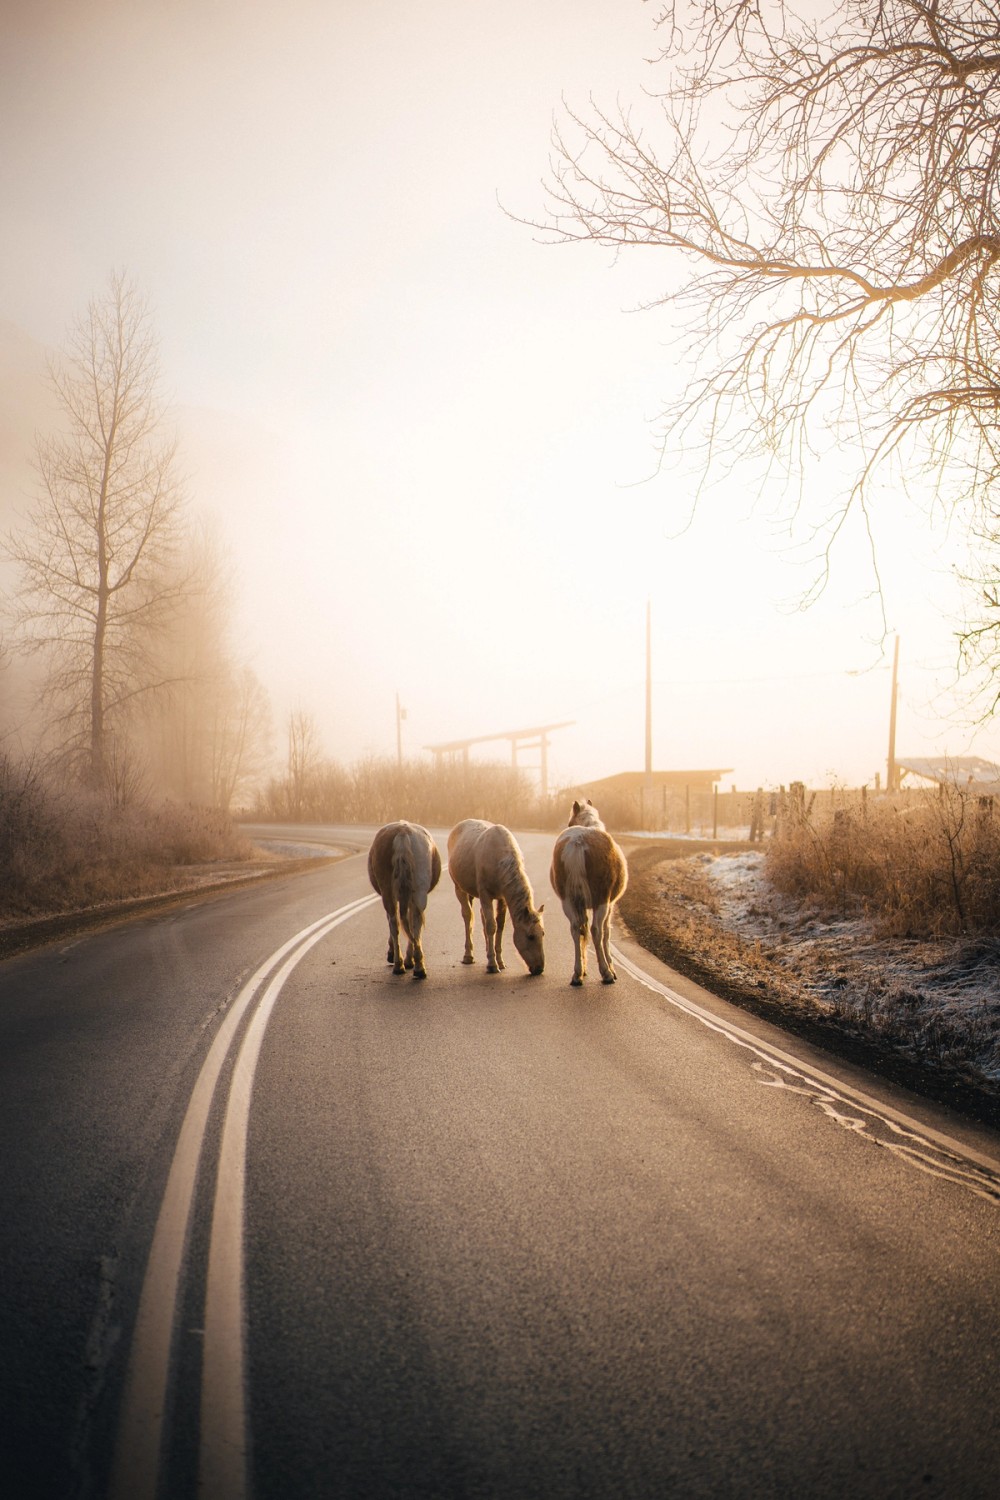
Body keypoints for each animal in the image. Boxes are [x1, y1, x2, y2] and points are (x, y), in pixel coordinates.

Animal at [367, 821, 442, 979]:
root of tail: (403, 833)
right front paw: (410, 959)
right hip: (419, 892)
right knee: (415, 922)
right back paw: (419, 968)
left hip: (388, 892)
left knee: (395, 923)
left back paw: (398, 964)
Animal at [447, 819, 545, 975]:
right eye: (530, 936)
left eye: (543, 933)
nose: (539, 968)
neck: (500, 862)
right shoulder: (485, 894)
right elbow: (491, 926)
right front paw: (492, 964)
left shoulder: (502, 897)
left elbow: (500, 925)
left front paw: (500, 961)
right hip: (459, 887)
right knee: (468, 915)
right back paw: (468, 956)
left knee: (481, 916)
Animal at [550, 800, 628, 986]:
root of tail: (578, 842)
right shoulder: (610, 904)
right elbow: (606, 933)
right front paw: (611, 968)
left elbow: (582, 929)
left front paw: (584, 969)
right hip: (601, 901)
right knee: (596, 930)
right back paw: (606, 973)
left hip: (568, 901)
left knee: (575, 928)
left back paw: (577, 974)